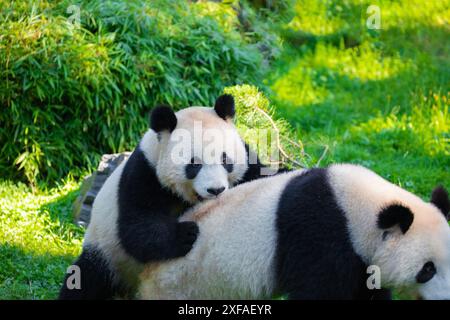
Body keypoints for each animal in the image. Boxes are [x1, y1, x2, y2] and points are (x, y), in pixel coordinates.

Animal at [58, 94, 284, 298]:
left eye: (225, 160)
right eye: (194, 165)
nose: (216, 190)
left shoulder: (246, 159)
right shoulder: (144, 174)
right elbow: (137, 228)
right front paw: (186, 233)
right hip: (107, 250)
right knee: (84, 278)